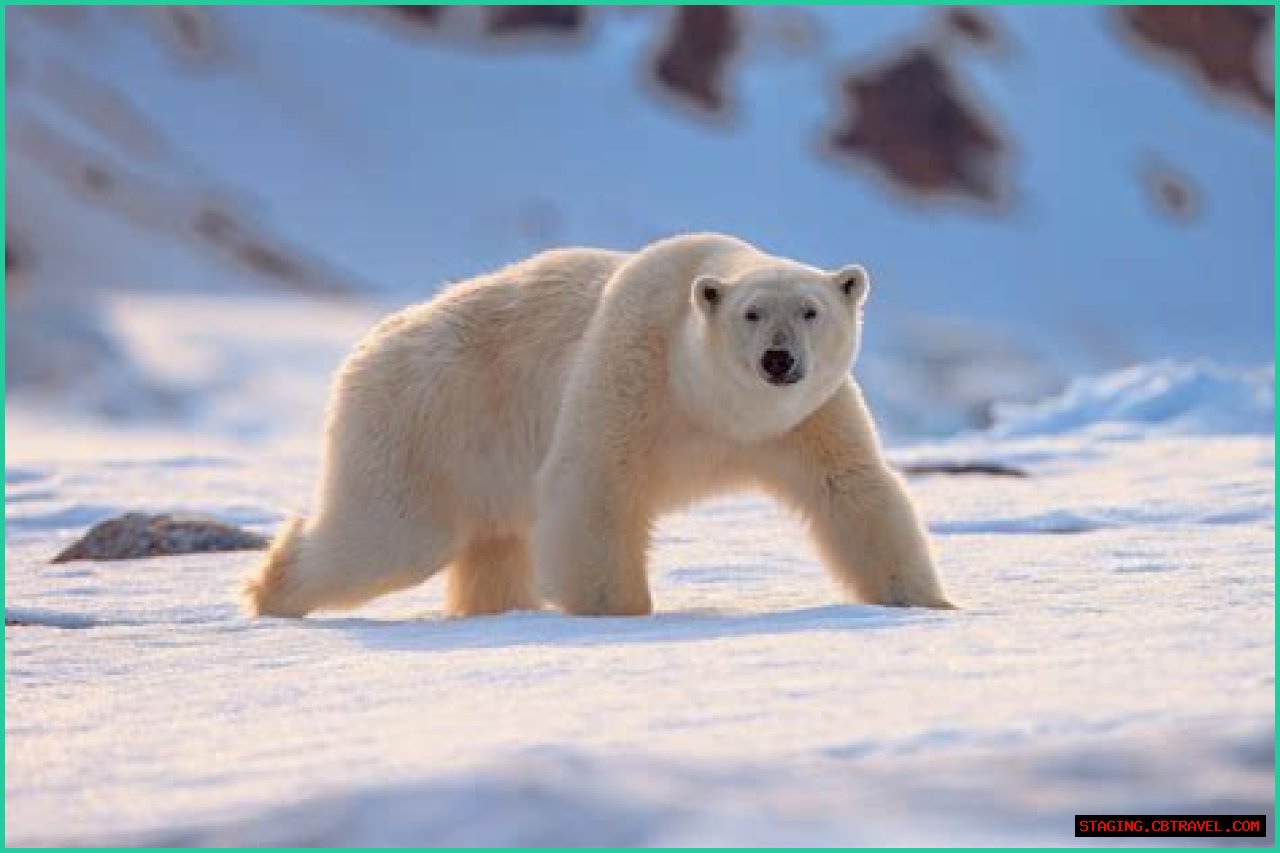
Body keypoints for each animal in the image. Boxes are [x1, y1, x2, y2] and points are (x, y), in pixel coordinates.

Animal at [243, 233, 953, 618]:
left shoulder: (806, 419)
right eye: (752, 314)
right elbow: (594, 489)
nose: (779, 360)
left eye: (810, 310)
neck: (712, 405)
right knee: (389, 535)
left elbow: (853, 490)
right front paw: (620, 613)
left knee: (492, 548)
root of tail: (368, 345)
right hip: (424, 424)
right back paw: (270, 590)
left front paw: (928, 602)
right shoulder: (632, 369)